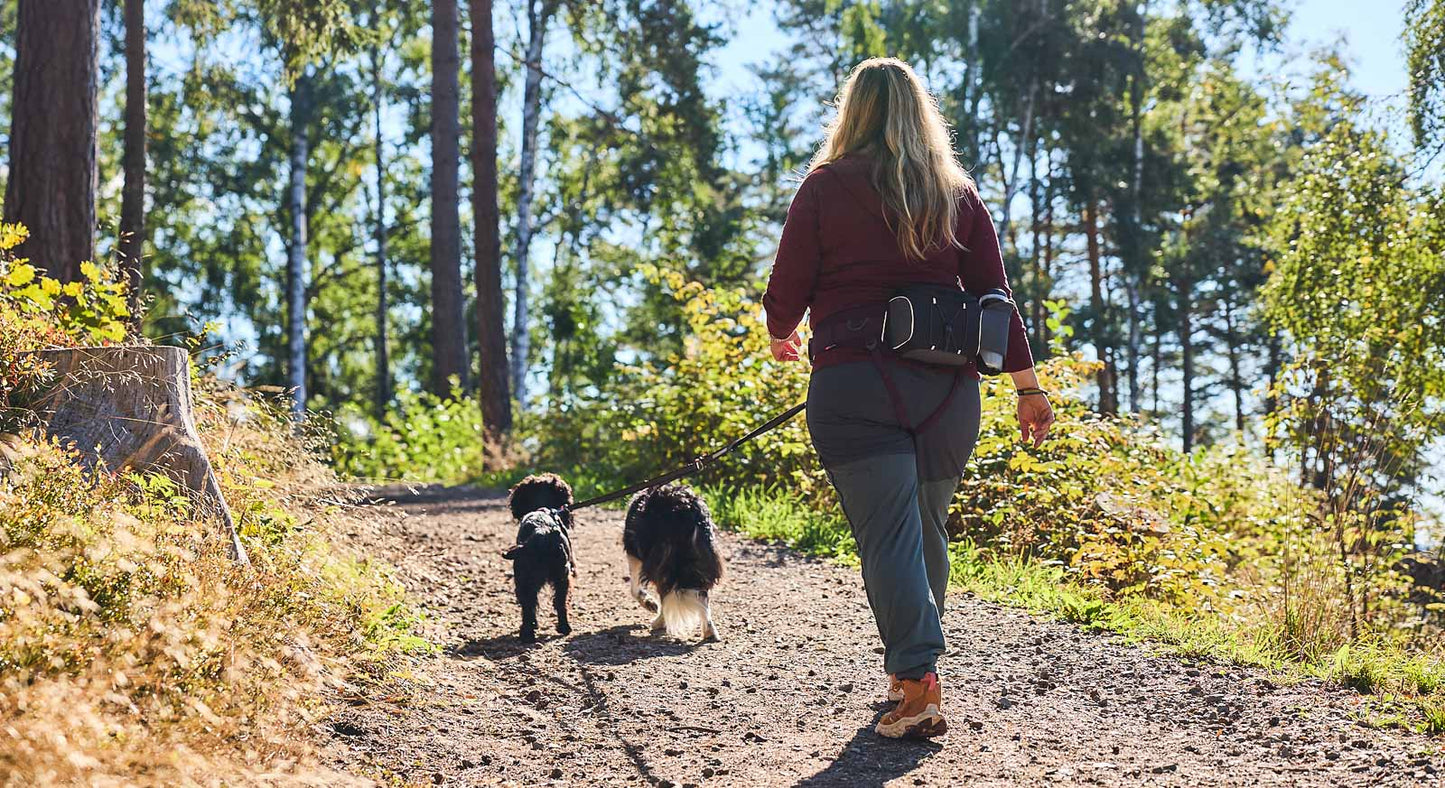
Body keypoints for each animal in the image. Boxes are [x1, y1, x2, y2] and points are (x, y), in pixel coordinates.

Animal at [502, 474, 575, 639]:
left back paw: (527, 634)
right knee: (559, 602)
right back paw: (564, 628)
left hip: (525, 577)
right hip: (561, 577)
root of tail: (543, 535)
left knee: (528, 604)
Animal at [627, 482, 728, 641]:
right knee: (702, 596)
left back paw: (659, 622)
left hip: (660, 560)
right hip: (703, 559)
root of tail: (686, 509)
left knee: (665, 591)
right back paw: (710, 633)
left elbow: (635, 589)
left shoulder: (634, 553)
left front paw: (649, 603)